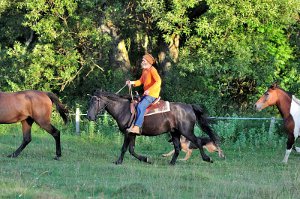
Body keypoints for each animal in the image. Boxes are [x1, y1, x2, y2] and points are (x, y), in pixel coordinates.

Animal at [86, 90, 220, 165]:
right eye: (90, 101)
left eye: (95, 101)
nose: (89, 116)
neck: (123, 109)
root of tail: (189, 107)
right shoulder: (133, 134)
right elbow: (131, 150)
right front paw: (146, 159)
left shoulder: (127, 133)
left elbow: (124, 148)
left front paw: (118, 162)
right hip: (175, 133)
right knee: (177, 148)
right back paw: (171, 163)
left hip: (186, 131)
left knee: (198, 141)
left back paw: (207, 158)